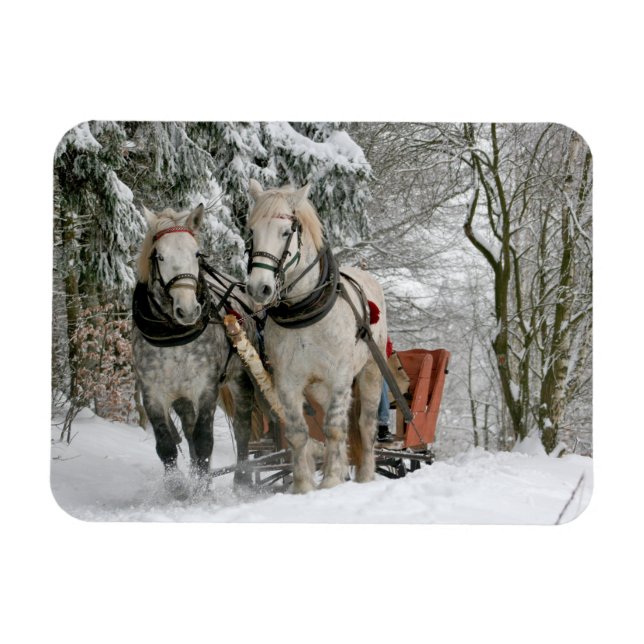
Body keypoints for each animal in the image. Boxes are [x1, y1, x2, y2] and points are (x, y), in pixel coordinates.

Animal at [132, 203, 256, 499]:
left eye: (196, 254)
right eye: (160, 256)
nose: (188, 310)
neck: (174, 336)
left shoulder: (206, 388)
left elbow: (204, 440)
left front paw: (202, 489)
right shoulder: (153, 392)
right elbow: (166, 444)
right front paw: (179, 487)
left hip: (240, 379)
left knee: (242, 427)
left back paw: (242, 479)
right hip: (182, 397)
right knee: (187, 431)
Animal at [245, 180, 387, 493]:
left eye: (286, 232)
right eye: (252, 232)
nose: (259, 288)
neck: (304, 309)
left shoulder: (340, 376)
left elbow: (334, 428)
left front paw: (332, 479)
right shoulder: (287, 381)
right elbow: (299, 433)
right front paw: (303, 486)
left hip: (370, 371)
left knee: (365, 424)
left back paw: (365, 475)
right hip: (319, 388)